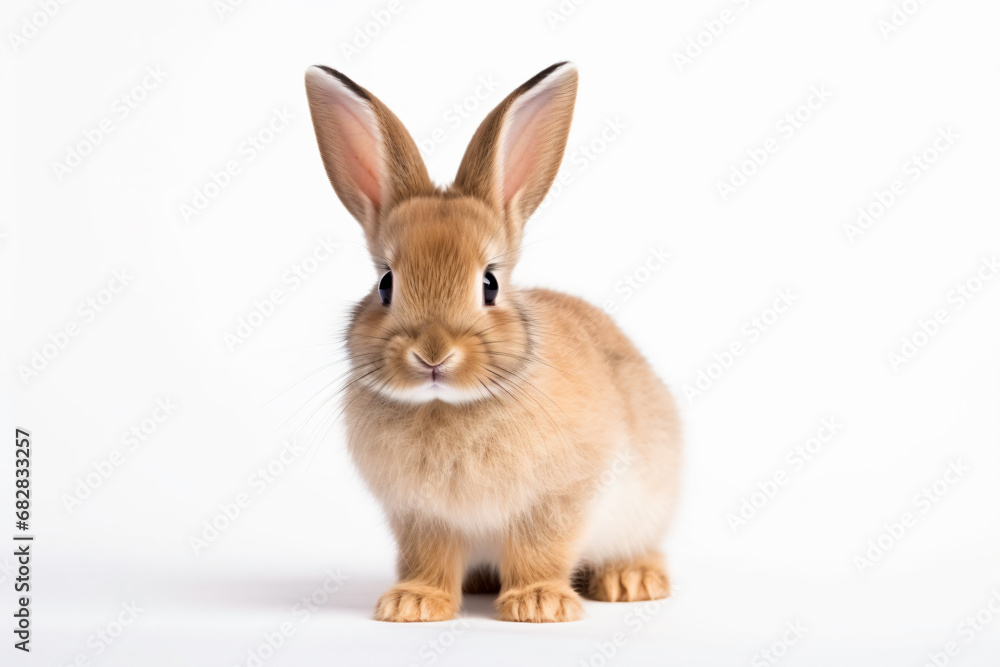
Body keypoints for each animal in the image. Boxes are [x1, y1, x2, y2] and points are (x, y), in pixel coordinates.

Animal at [304, 62, 682, 623]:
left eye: (490, 284)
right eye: (386, 283)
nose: (433, 353)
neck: (446, 405)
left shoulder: (556, 500)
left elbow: (539, 550)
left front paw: (539, 604)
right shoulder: (422, 517)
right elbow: (430, 559)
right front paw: (414, 604)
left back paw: (631, 580)